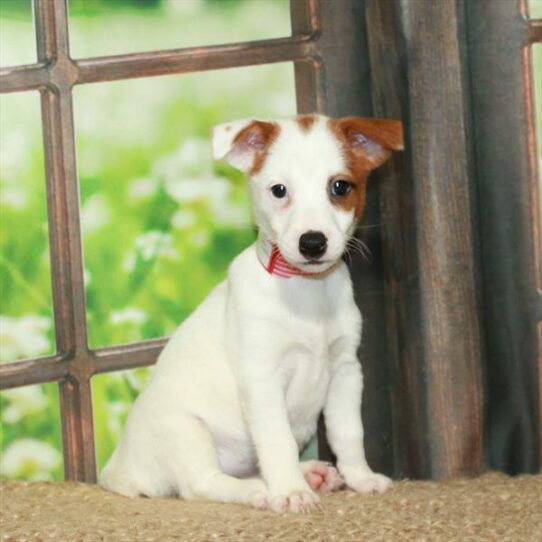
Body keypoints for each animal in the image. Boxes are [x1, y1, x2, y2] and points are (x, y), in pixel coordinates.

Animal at [101, 113, 404, 516]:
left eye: (340, 187)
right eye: (279, 190)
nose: (312, 243)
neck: (306, 295)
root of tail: (118, 468)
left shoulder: (345, 371)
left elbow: (349, 433)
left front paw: (360, 477)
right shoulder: (262, 378)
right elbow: (278, 440)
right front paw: (290, 491)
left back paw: (309, 473)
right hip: (185, 430)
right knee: (200, 484)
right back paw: (260, 490)